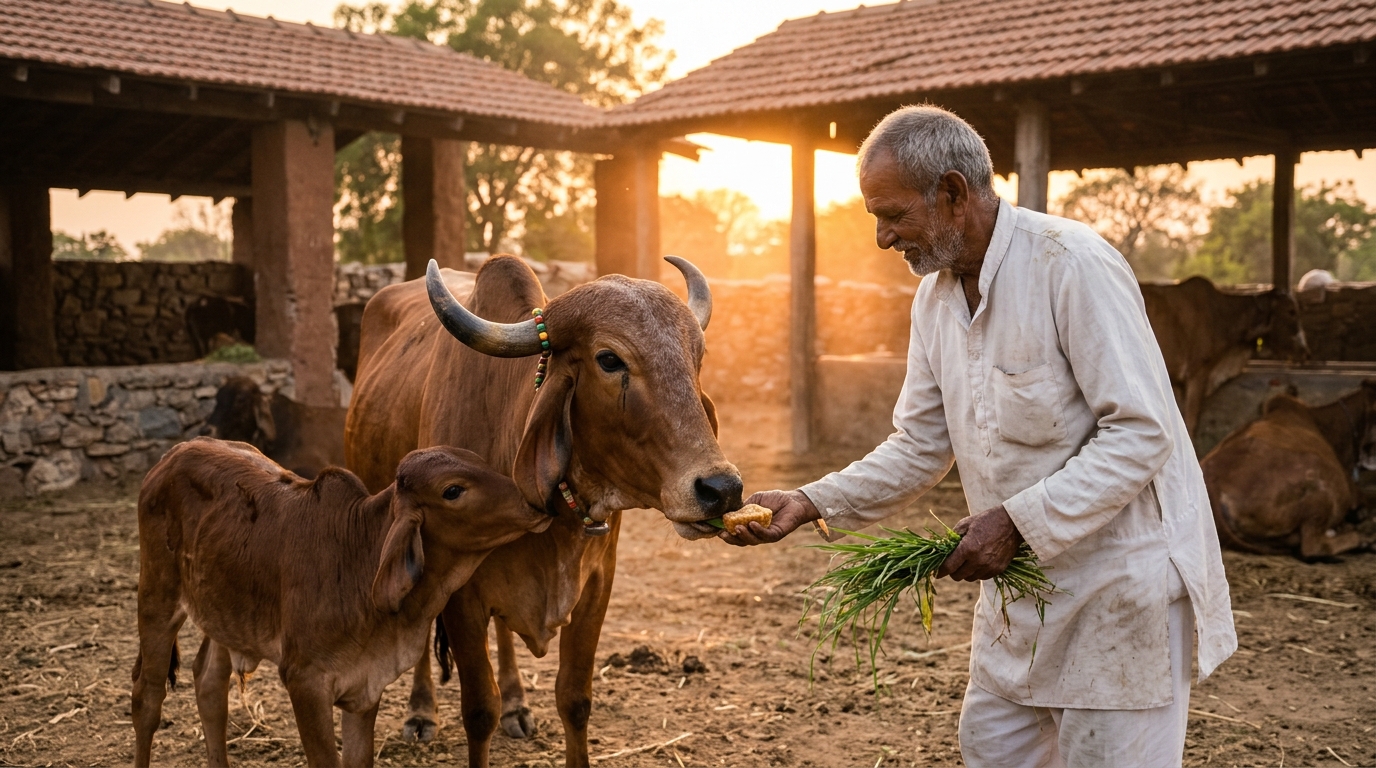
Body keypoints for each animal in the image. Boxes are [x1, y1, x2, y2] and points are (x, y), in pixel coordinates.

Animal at [131, 439, 551, 768]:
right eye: (452, 491)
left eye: (480, 460)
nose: (535, 500)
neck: (358, 561)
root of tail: (174, 454)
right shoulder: (305, 683)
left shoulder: (365, 688)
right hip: (157, 596)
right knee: (146, 700)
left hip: (227, 614)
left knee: (208, 683)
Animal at [344, 255, 740, 767]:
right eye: (609, 359)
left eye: (697, 356)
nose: (721, 489)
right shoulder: (460, 595)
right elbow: (479, 710)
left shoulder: (597, 585)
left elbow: (574, 699)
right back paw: (421, 712)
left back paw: (516, 704)